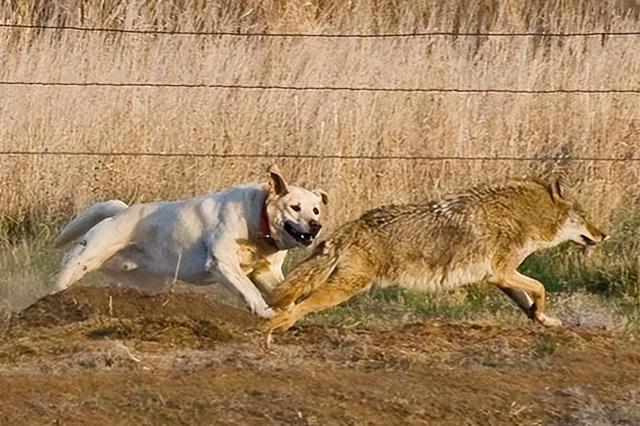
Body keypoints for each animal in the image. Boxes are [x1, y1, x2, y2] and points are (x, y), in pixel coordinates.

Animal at [52, 165, 328, 318]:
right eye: (295, 207)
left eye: (316, 210)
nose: (317, 225)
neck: (257, 221)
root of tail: (121, 211)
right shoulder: (222, 262)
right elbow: (249, 291)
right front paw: (264, 312)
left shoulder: (265, 271)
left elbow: (287, 294)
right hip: (88, 255)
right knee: (67, 265)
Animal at [262, 178, 608, 332]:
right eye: (585, 217)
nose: (603, 234)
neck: (526, 215)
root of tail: (352, 226)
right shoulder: (503, 272)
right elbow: (542, 287)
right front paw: (543, 314)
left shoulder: (498, 277)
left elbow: (530, 299)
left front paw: (542, 319)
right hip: (344, 289)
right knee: (299, 306)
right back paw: (273, 328)